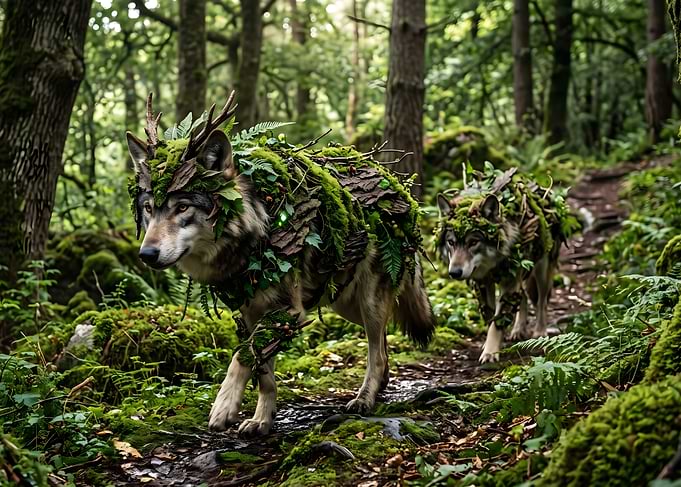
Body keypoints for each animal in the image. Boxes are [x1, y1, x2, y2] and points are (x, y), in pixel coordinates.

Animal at [125, 95, 436, 437]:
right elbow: (263, 374)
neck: (256, 231)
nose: (146, 254)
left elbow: (242, 356)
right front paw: (262, 420)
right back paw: (377, 390)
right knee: (382, 345)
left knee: (377, 352)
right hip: (345, 304)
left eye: (182, 207)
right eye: (149, 209)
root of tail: (399, 189)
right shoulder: (252, 313)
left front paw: (224, 406)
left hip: (368, 302)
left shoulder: (288, 312)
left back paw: (364, 399)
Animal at [436, 168, 576, 363]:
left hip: (541, 271)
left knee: (541, 302)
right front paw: (490, 345)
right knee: (522, 297)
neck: (491, 264)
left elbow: (498, 322)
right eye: (451, 242)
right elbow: (490, 317)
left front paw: (490, 353)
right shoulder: (483, 283)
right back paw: (518, 330)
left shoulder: (509, 282)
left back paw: (540, 332)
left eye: (473, 242)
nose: (454, 272)